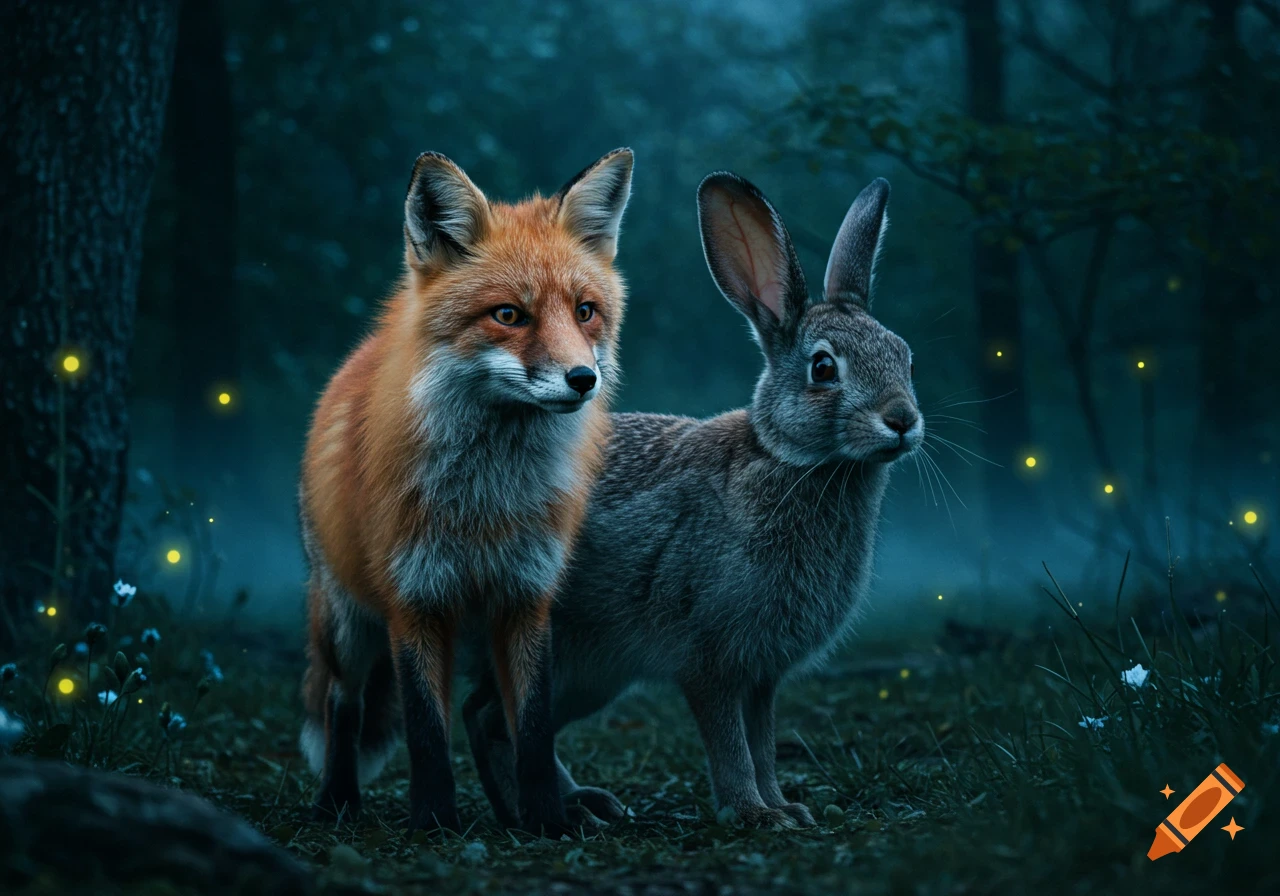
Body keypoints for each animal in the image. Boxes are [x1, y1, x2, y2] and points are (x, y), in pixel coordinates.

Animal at [299, 147, 634, 837]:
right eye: (509, 315)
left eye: (585, 310)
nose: (582, 379)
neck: (485, 503)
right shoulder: (414, 599)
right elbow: (427, 731)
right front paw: (433, 824)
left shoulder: (528, 596)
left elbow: (532, 727)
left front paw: (545, 821)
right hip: (348, 623)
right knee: (345, 703)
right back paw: (336, 800)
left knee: (485, 717)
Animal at [462, 171, 922, 830]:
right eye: (823, 368)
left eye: (905, 356)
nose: (903, 421)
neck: (786, 460)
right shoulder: (710, 661)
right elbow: (730, 744)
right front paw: (755, 814)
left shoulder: (761, 677)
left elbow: (762, 743)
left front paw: (784, 807)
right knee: (488, 718)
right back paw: (540, 815)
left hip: (591, 674)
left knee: (499, 721)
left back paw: (580, 804)